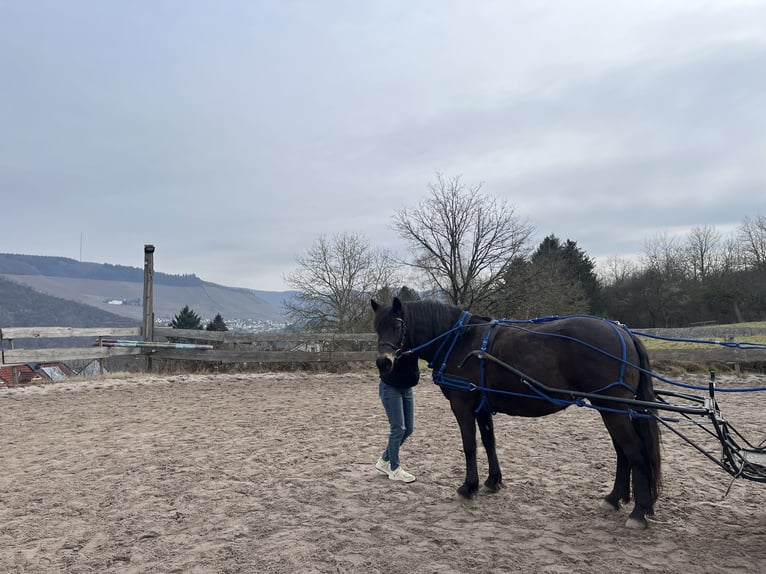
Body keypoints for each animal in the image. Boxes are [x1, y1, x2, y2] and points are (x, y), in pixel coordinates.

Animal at [370, 300, 660, 528]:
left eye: (398, 325)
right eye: (376, 327)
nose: (383, 362)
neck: (459, 340)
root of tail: (622, 332)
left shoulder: (463, 405)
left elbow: (469, 446)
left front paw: (468, 487)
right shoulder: (482, 406)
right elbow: (489, 442)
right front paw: (492, 482)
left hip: (613, 409)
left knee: (634, 451)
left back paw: (638, 512)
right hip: (610, 408)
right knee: (622, 451)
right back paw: (614, 498)